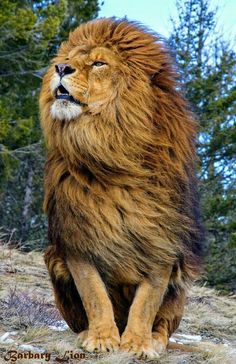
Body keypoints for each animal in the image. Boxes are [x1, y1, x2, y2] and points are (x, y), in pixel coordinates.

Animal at [39, 19, 204, 358]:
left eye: (99, 63)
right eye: (68, 59)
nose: (60, 67)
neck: (110, 153)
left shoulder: (162, 240)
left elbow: (146, 302)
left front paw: (137, 344)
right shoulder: (76, 236)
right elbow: (94, 294)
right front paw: (102, 338)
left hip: (181, 281)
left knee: (164, 325)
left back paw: (155, 340)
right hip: (53, 258)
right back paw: (85, 332)